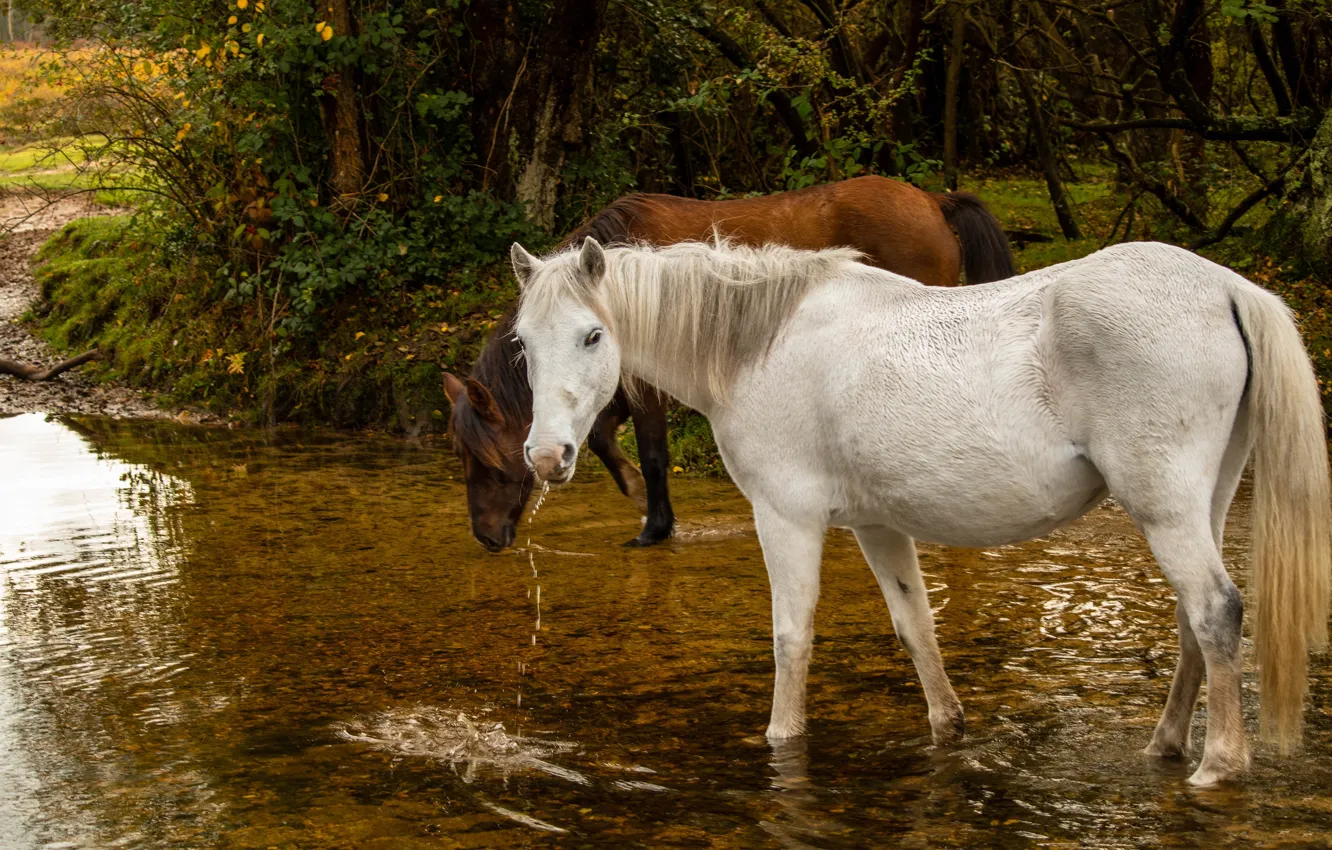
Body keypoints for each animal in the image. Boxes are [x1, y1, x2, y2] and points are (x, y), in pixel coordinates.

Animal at [444, 176, 1016, 551]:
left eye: (489, 462)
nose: (485, 537)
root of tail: (932, 199)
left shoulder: (648, 388)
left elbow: (653, 453)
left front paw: (655, 526)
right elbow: (606, 437)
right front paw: (638, 497)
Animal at [509, 236, 1331, 787]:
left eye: (593, 335)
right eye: (522, 344)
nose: (546, 458)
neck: (759, 345)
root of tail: (1224, 288)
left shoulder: (786, 518)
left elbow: (791, 638)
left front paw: (780, 741)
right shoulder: (879, 525)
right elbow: (915, 628)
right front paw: (948, 728)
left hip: (1164, 508)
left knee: (1216, 611)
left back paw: (1218, 764)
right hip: (1201, 503)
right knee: (1196, 622)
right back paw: (1164, 745)